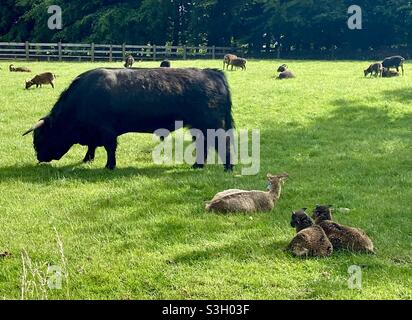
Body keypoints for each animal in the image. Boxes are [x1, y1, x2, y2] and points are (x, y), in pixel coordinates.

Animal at [22, 68, 235, 171]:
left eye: (39, 138)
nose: (40, 158)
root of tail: (212, 72)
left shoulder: (106, 131)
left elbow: (109, 148)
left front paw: (109, 166)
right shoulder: (94, 132)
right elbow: (92, 146)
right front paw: (87, 159)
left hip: (212, 124)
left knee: (221, 142)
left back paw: (228, 167)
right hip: (198, 126)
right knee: (204, 144)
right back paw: (197, 165)